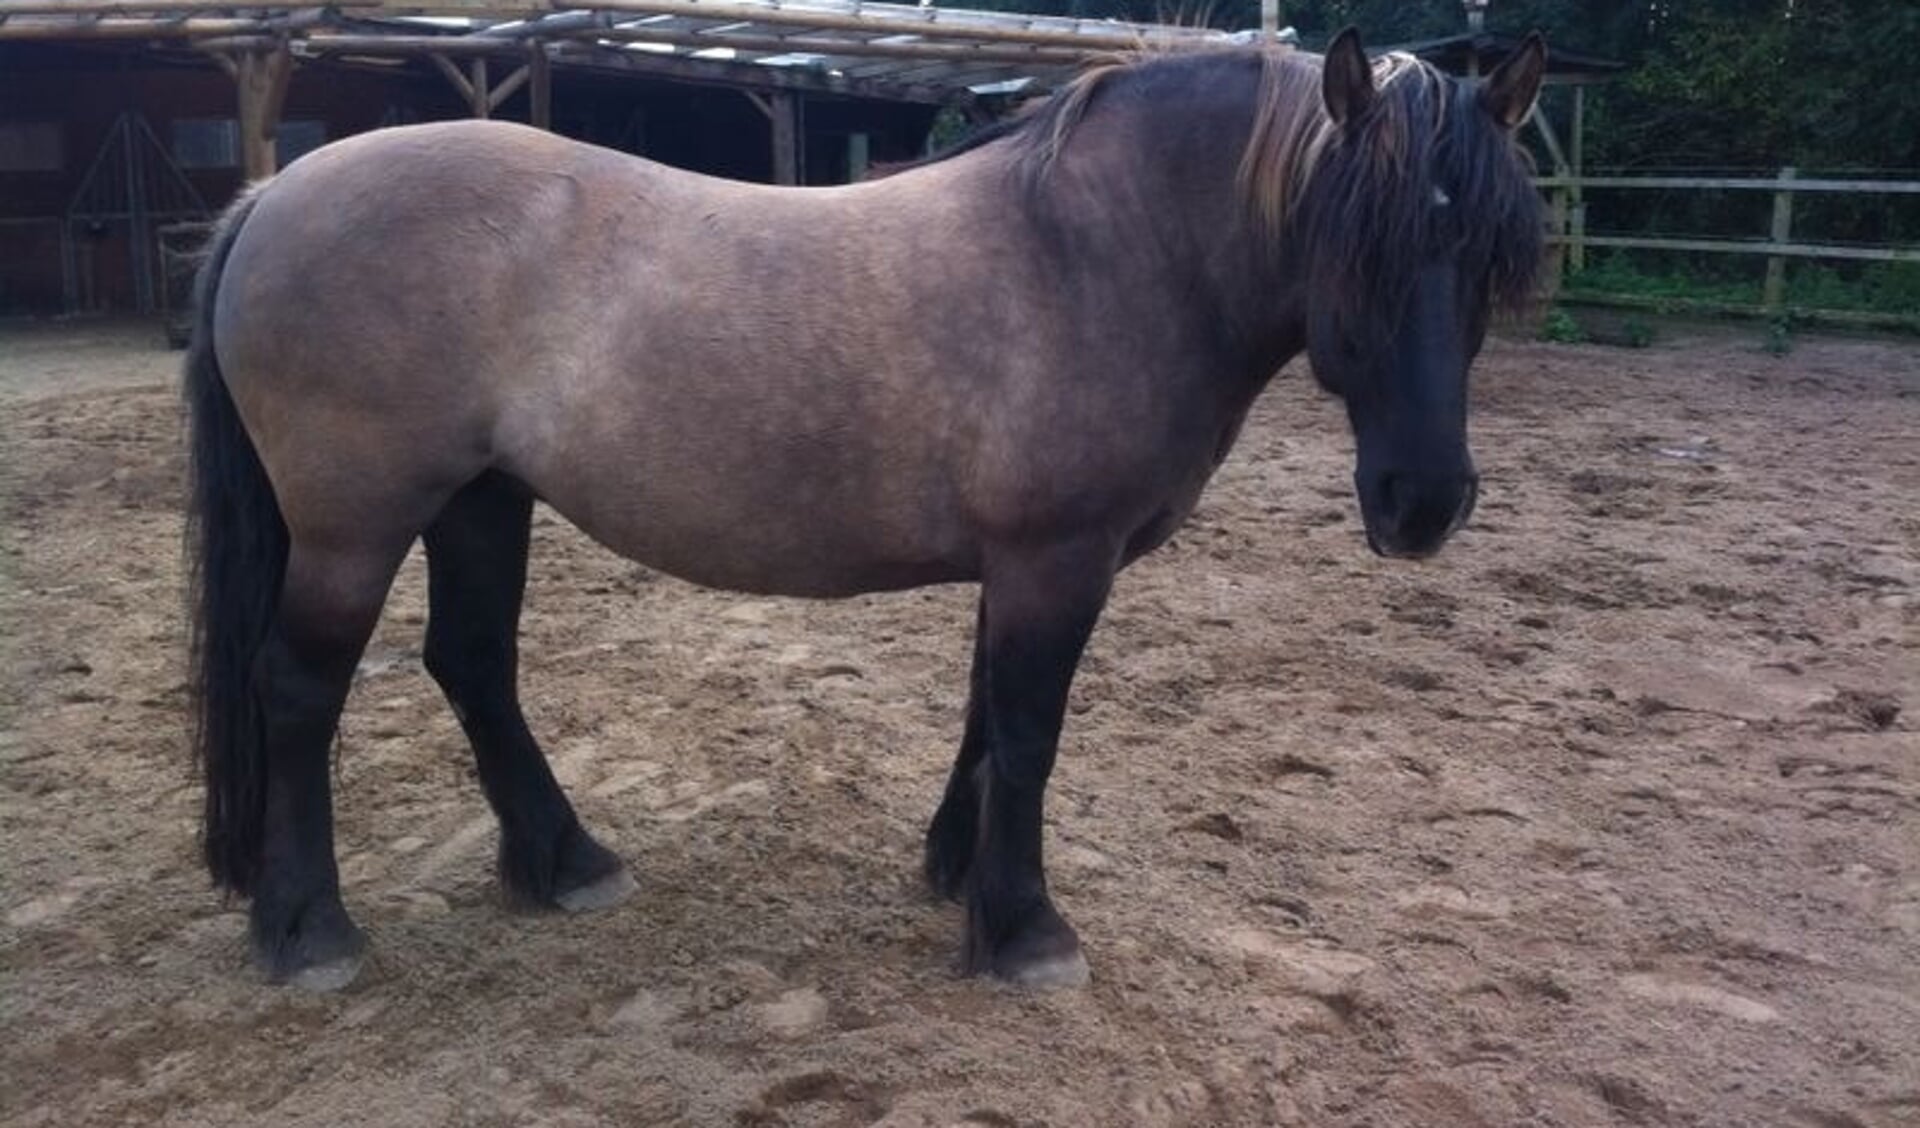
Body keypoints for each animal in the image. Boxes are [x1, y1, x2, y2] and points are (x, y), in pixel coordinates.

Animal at [184, 29, 1546, 991]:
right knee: (298, 690)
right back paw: (310, 932)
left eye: (1489, 253)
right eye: (1352, 246)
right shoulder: (1058, 560)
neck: (1097, 252)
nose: (1424, 503)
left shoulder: (1023, 563)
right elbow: (1031, 730)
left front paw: (959, 876)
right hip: (357, 526)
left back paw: (567, 864)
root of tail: (273, 196)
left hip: (480, 500)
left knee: (471, 664)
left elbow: (988, 720)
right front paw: (1025, 930)